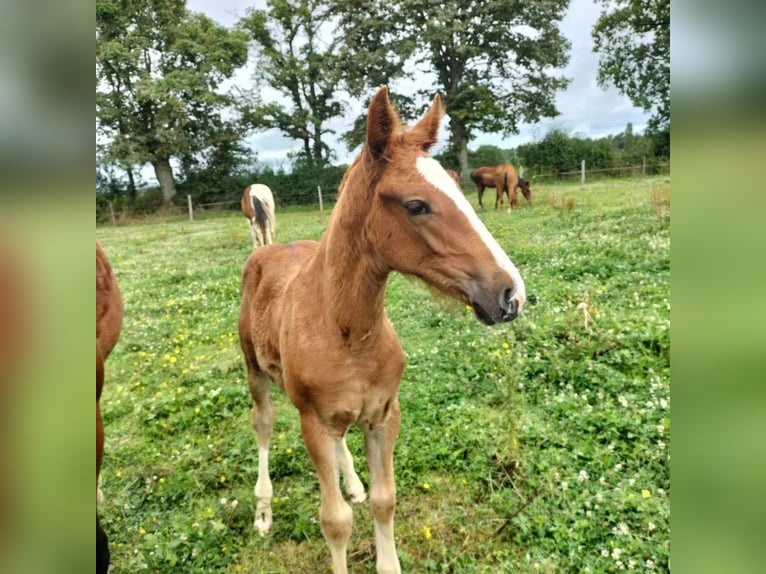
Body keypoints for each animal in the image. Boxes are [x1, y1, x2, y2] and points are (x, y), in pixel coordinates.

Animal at [238, 85, 528, 574]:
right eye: (416, 205)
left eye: (460, 189)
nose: (511, 294)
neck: (348, 333)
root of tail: (268, 250)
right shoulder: (313, 423)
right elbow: (334, 521)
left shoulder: (384, 414)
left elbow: (384, 500)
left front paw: (367, 502)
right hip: (255, 372)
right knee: (263, 425)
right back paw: (262, 511)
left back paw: (352, 482)